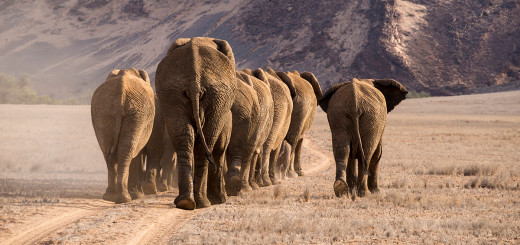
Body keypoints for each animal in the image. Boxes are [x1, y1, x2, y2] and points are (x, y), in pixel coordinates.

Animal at [90, 68, 155, 204]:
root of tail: (120, 96)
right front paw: (138, 195)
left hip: (104, 114)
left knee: (108, 151)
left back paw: (110, 197)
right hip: (136, 115)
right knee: (127, 151)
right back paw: (126, 198)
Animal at [153, 37, 237, 210]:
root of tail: (194, 77)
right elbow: (220, 147)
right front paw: (220, 199)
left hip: (172, 93)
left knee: (183, 138)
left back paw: (185, 202)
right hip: (217, 97)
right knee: (207, 143)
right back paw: (203, 202)